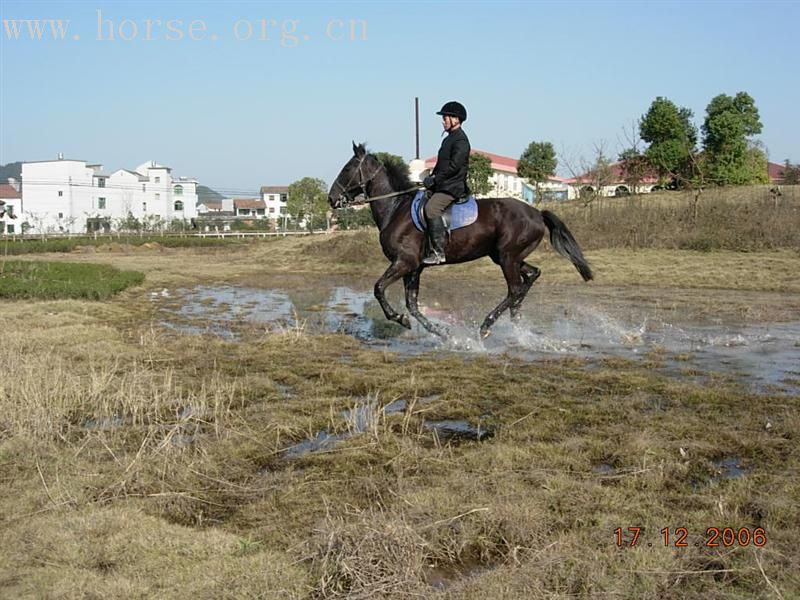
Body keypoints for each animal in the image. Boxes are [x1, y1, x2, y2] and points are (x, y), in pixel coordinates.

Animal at [326, 141, 592, 338]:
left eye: (347, 169)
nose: (331, 198)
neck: (395, 207)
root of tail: (536, 212)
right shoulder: (414, 268)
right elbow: (412, 305)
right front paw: (441, 332)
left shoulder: (405, 262)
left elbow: (379, 288)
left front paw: (399, 319)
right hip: (506, 256)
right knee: (531, 276)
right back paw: (516, 319)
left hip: (508, 257)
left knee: (515, 288)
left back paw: (487, 325)